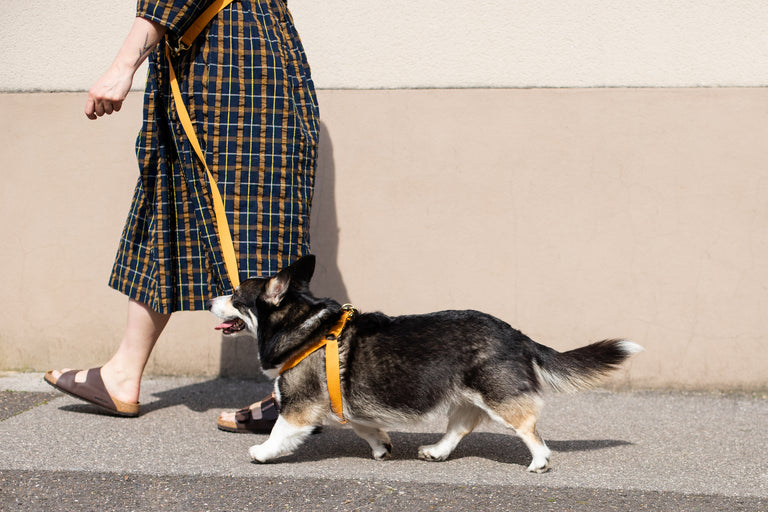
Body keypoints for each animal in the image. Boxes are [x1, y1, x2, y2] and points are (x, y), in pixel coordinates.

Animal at [208, 256, 640, 472]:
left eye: (234, 296)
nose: (210, 300)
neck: (304, 327)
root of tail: (516, 334)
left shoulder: (298, 407)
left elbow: (280, 432)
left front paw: (262, 452)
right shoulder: (347, 405)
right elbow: (366, 427)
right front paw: (382, 448)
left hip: (498, 398)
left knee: (529, 429)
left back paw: (539, 462)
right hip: (465, 396)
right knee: (460, 427)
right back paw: (436, 451)